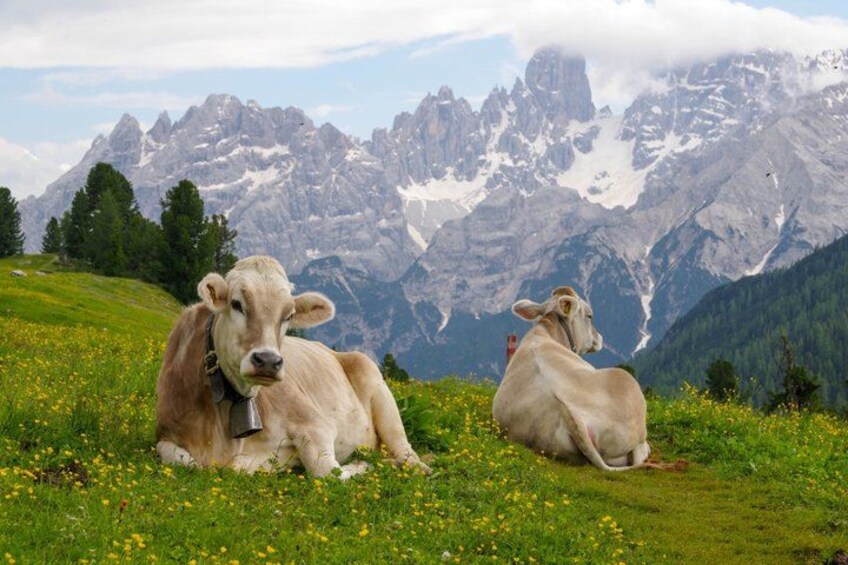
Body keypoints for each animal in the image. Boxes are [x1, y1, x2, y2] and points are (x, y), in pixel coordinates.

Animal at [156, 256, 430, 479]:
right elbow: (181, 459)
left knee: (406, 451)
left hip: (377, 385)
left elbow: (327, 472)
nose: (268, 361)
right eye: (236, 304)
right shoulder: (165, 434)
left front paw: (363, 465)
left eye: (289, 315)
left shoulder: (316, 424)